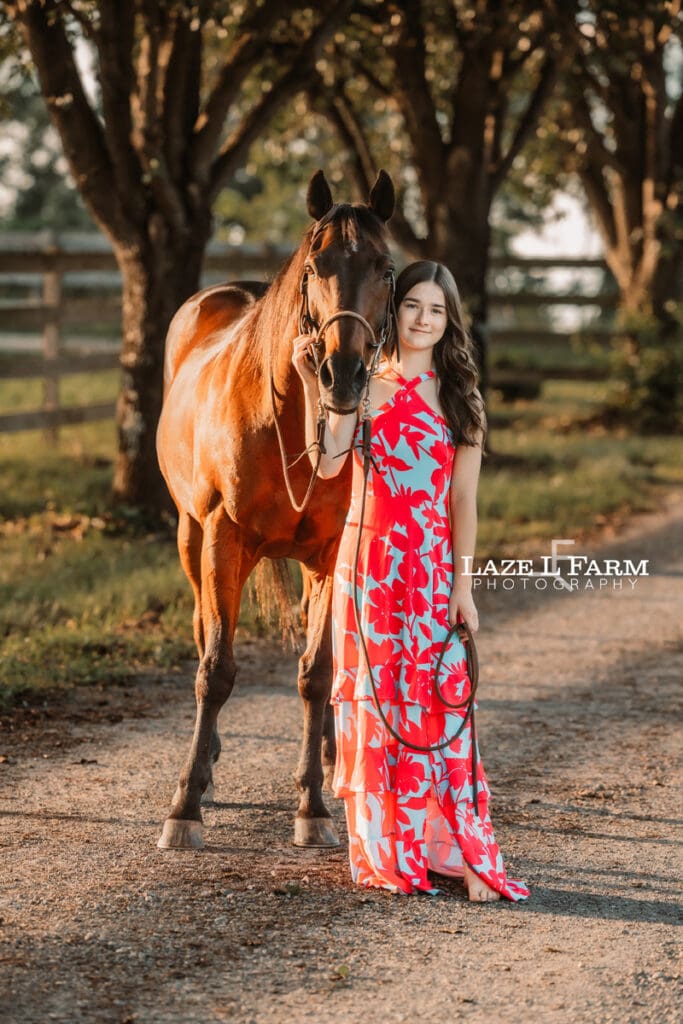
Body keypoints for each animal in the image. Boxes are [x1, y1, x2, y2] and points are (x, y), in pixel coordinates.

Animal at [156, 168, 396, 850]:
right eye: (316, 265)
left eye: (386, 267)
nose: (343, 374)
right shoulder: (222, 538)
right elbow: (216, 668)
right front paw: (185, 804)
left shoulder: (330, 553)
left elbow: (316, 672)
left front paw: (312, 805)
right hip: (191, 539)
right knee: (201, 628)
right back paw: (208, 763)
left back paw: (334, 759)